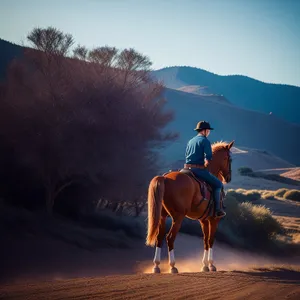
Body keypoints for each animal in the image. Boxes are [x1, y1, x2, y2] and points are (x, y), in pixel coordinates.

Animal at [145, 139, 234, 274]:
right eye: (229, 159)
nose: (228, 178)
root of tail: (165, 178)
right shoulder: (214, 219)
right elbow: (211, 240)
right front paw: (211, 265)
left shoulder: (204, 220)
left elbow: (205, 240)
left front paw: (204, 265)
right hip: (178, 217)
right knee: (170, 238)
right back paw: (173, 266)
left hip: (162, 216)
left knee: (159, 237)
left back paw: (156, 266)